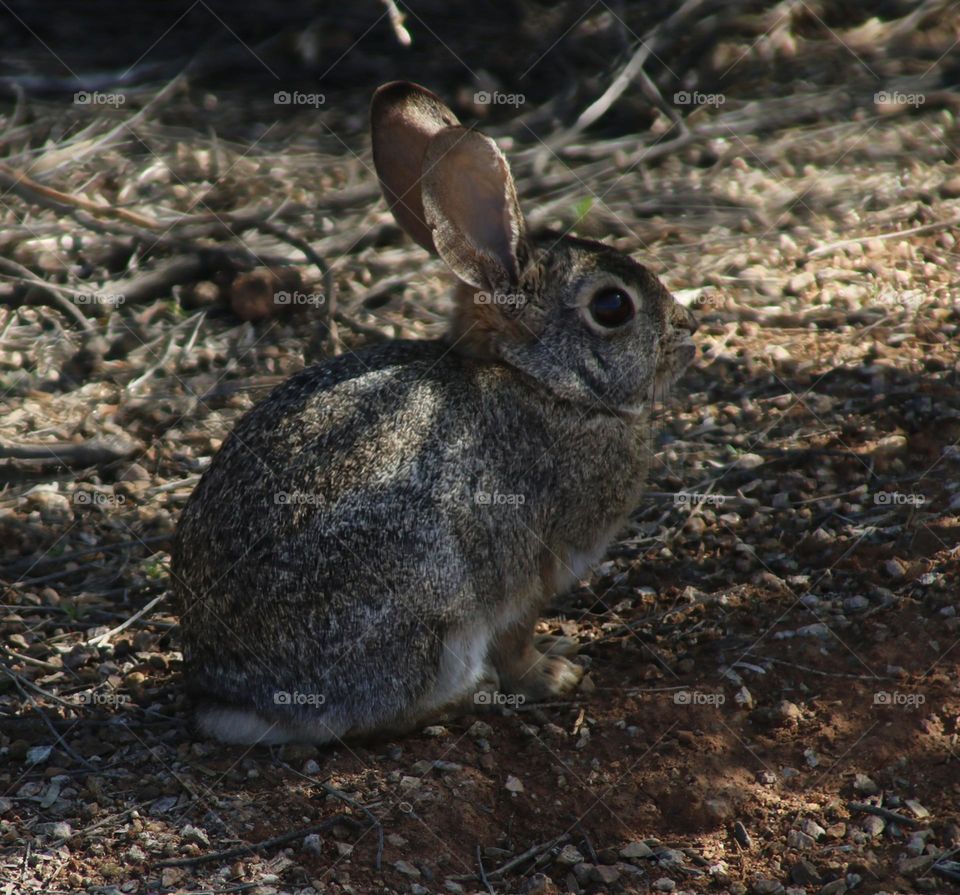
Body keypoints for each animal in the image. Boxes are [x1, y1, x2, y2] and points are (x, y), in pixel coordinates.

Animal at [172, 80, 698, 745]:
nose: (689, 329)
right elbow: (515, 639)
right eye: (612, 307)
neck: (543, 384)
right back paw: (464, 699)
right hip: (428, 608)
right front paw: (554, 675)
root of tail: (232, 701)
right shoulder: (529, 571)